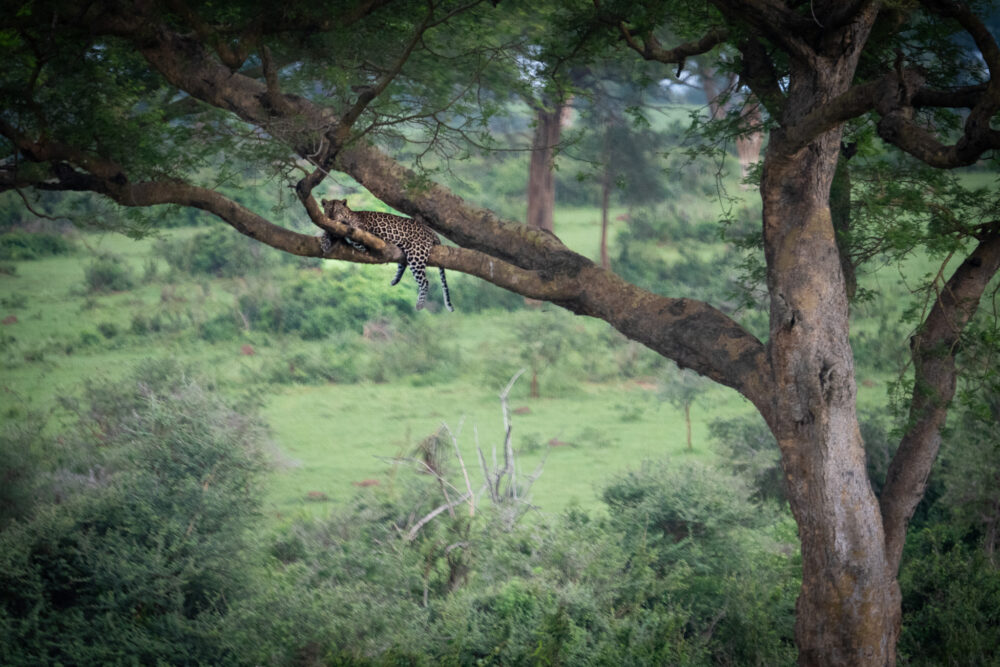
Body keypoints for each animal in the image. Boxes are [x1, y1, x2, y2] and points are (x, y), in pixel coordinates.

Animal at [320, 198, 454, 314]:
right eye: (328, 210)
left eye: (338, 210)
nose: (331, 217)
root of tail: (431, 231)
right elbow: (327, 232)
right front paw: (324, 241)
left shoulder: (361, 234)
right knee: (403, 265)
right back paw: (394, 281)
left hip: (416, 253)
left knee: (425, 281)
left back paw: (419, 304)